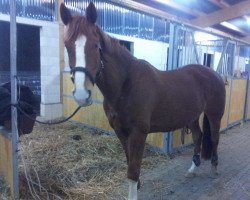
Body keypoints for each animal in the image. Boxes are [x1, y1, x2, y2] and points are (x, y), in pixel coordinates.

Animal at [60, 2, 225, 198]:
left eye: (95, 45)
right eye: (67, 45)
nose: (81, 93)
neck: (125, 85)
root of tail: (214, 74)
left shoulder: (139, 132)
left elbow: (133, 169)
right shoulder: (120, 131)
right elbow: (129, 161)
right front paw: (137, 185)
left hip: (214, 114)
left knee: (214, 138)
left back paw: (214, 169)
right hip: (191, 116)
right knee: (198, 136)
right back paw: (192, 169)